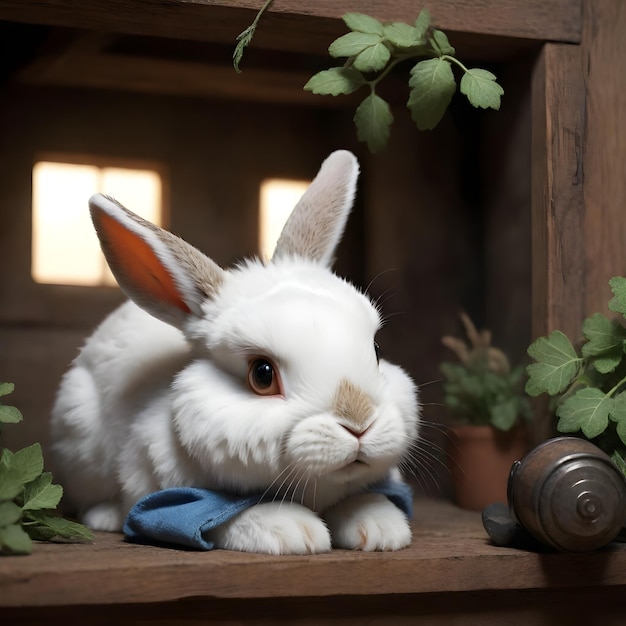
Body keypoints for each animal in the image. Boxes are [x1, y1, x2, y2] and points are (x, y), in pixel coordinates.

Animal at [50, 150, 420, 552]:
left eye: (377, 350)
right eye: (262, 374)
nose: (359, 424)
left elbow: (364, 497)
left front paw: (381, 527)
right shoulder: (166, 497)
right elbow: (224, 514)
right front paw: (294, 531)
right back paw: (104, 516)